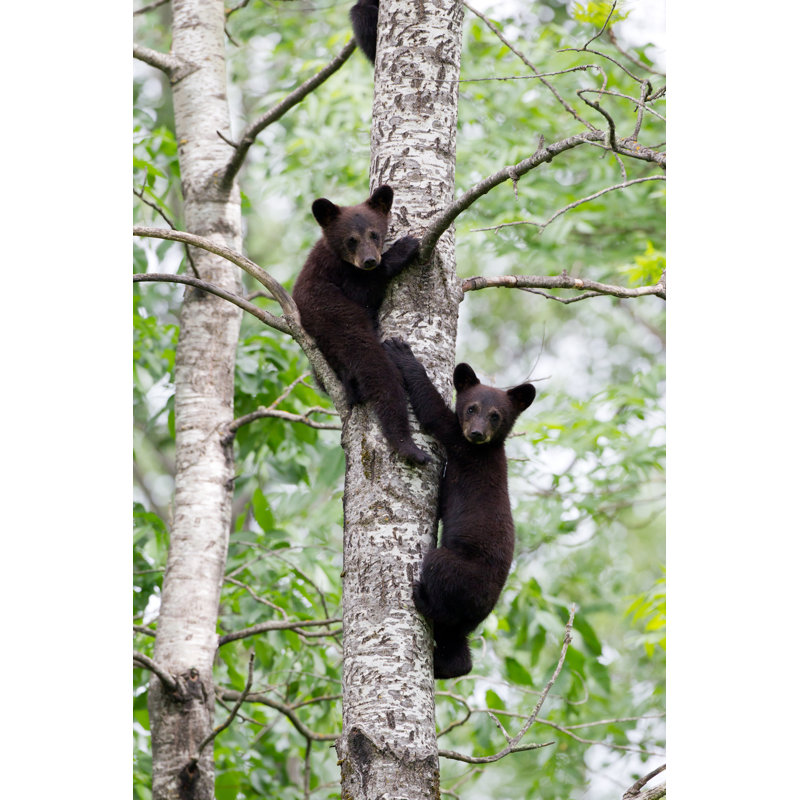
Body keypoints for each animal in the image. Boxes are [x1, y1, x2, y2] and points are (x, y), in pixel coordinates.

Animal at [292, 185, 431, 465]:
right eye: (351, 240)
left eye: (374, 233)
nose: (369, 260)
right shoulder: (339, 276)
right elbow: (364, 292)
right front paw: (404, 248)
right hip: (340, 326)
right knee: (379, 373)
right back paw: (409, 447)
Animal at [383, 338, 536, 678]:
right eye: (471, 408)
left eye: (495, 415)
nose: (476, 433)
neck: (488, 449)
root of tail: (483, 607)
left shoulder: (459, 442)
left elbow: (433, 413)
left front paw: (403, 354)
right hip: (464, 619)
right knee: (456, 642)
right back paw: (449, 665)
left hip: (457, 571)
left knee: (440, 590)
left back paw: (421, 599)